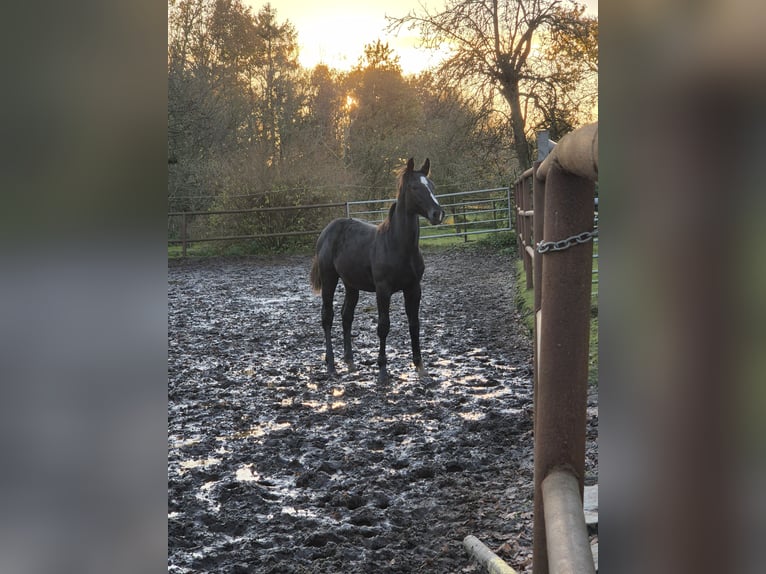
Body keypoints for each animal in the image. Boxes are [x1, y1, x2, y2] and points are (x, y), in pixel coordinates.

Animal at [310, 157, 445, 383]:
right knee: (327, 317)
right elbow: (383, 326)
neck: (397, 245)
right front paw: (382, 371)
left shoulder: (414, 288)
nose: (438, 214)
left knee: (346, 316)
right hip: (330, 278)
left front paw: (420, 367)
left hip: (351, 284)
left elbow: (414, 324)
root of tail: (327, 230)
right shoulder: (383, 290)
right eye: (414, 187)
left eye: (432, 186)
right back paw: (331, 366)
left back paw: (350, 362)